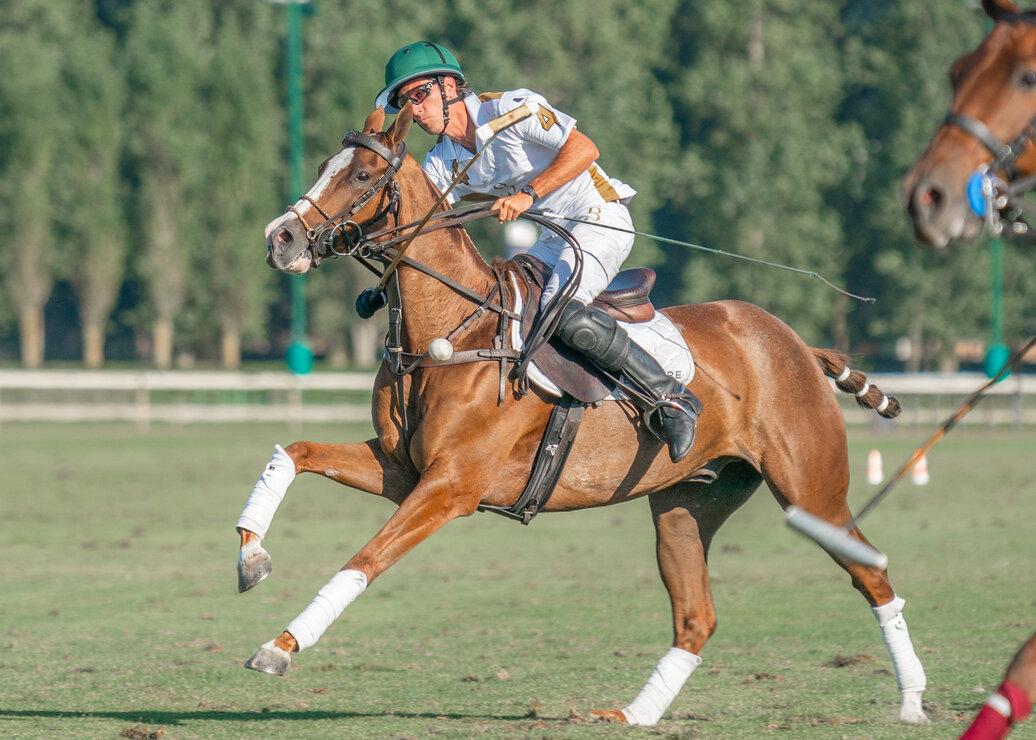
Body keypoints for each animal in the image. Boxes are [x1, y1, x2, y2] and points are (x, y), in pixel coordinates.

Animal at [237, 103, 932, 725]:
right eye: (323, 165)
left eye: (360, 175)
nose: (279, 239)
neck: (455, 330)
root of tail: (797, 344)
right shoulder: (401, 469)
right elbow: (293, 453)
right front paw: (251, 558)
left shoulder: (451, 486)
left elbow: (364, 561)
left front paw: (278, 647)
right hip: (686, 503)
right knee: (696, 617)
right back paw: (632, 714)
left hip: (813, 491)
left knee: (874, 577)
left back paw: (912, 702)